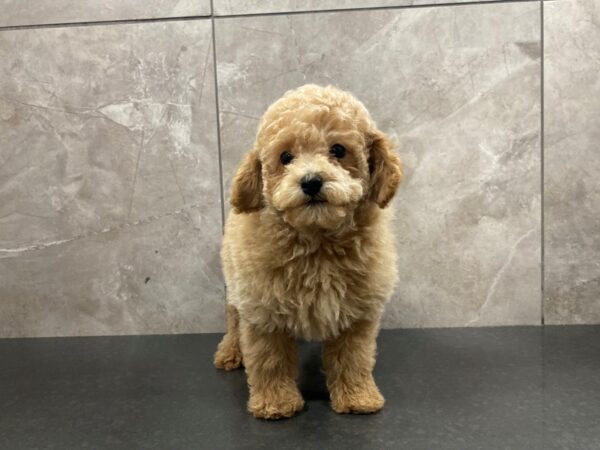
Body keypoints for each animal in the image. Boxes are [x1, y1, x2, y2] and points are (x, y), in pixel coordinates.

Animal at [213, 83, 400, 418]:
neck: (317, 244)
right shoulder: (263, 312)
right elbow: (270, 360)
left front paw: (358, 397)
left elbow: (354, 358)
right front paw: (275, 403)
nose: (311, 181)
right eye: (286, 157)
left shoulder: (358, 314)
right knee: (234, 320)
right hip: (236, 290)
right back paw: (230, 352)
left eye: (338, 150)